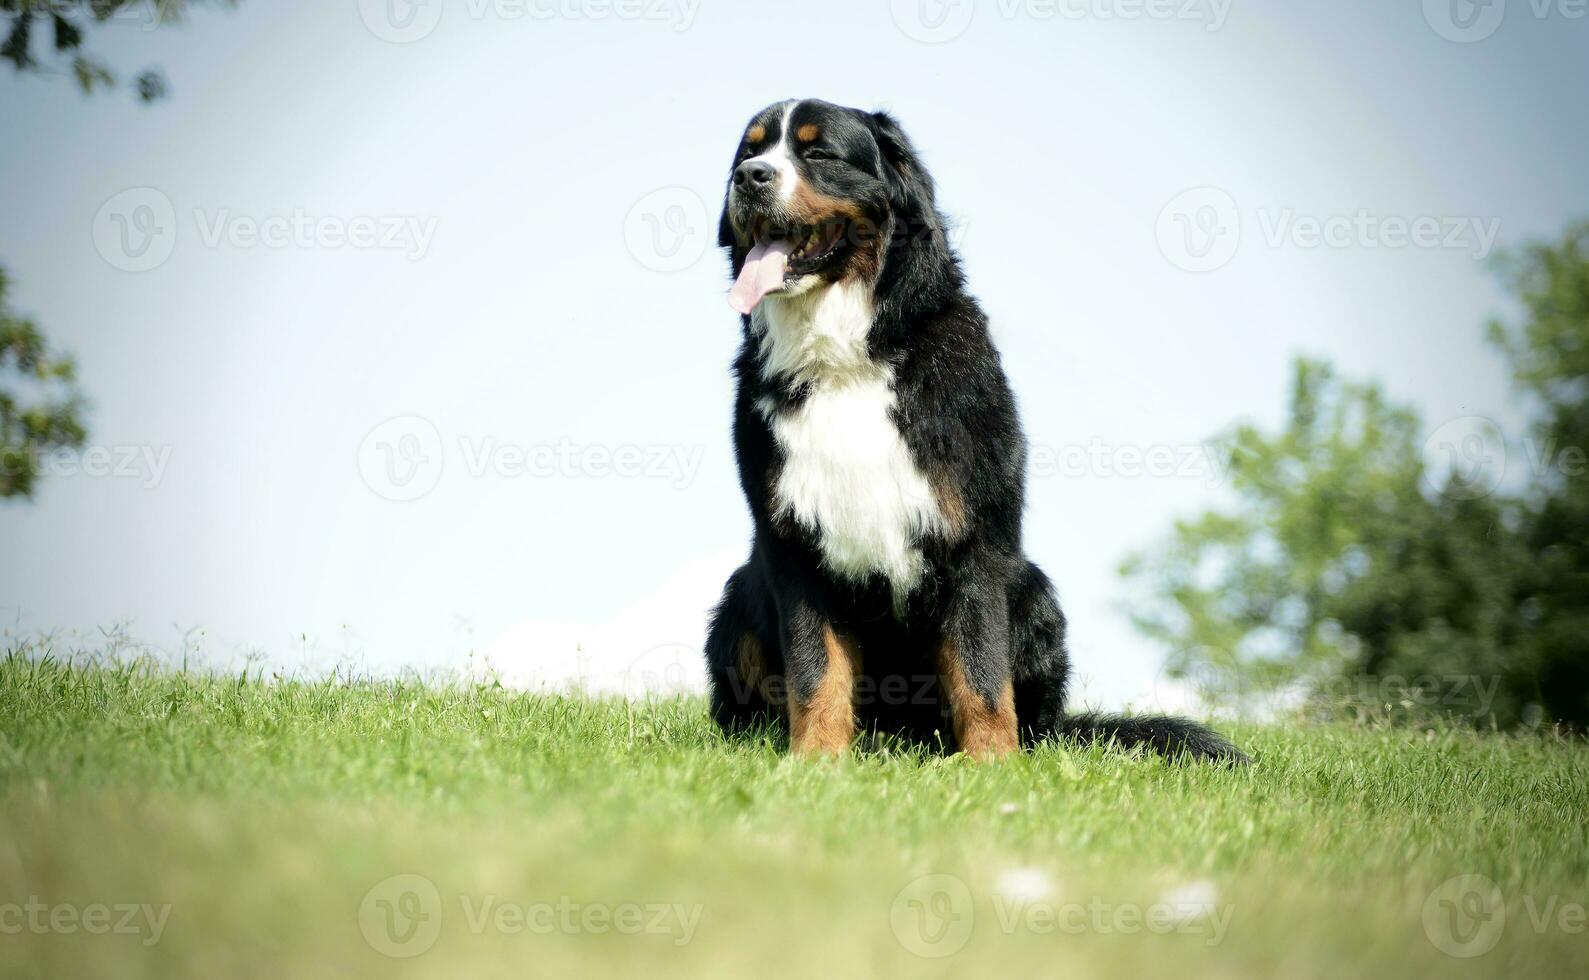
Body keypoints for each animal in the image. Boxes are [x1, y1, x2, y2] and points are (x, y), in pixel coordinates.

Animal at [705, 99, 1239, 759]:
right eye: (748, 151)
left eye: (818, 152)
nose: (750, 177)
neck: (848, 357)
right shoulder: (794, 545)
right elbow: (815, 669)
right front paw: (816, 760)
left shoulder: (973, 537)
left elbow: (980, 668)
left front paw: (991, 763)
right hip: (736, 598)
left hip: (1034, 592)